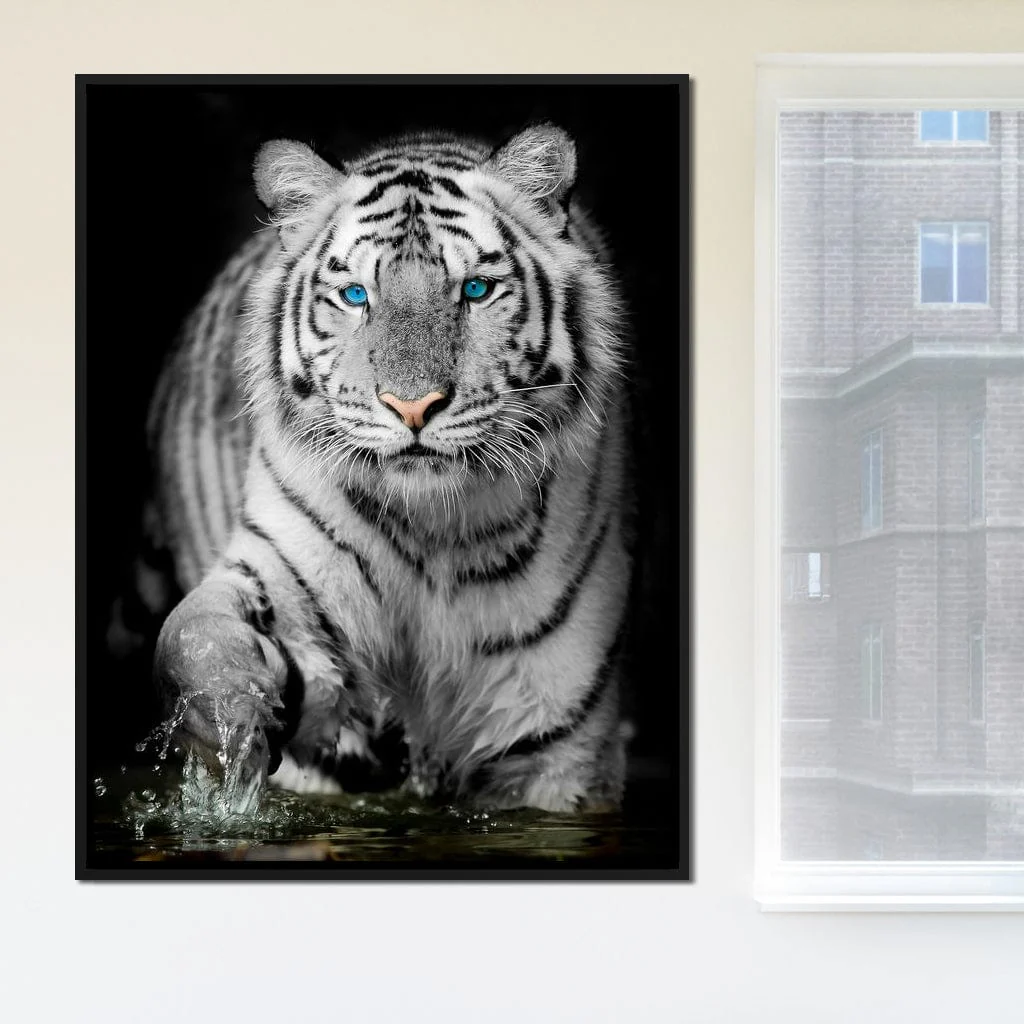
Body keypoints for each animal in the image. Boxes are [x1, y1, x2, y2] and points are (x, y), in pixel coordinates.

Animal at [142, 122, 634, 813]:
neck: (435, 529)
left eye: (475, 290)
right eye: (356, 296)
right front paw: (229, 719)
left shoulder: (557, 743)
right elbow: (195, 634)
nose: (413, 406)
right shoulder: (282, 574)